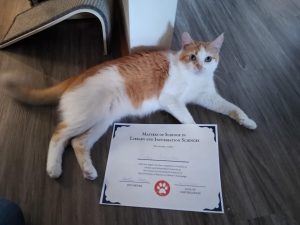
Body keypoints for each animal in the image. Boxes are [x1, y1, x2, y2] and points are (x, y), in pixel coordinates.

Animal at [1, 31, 255, 180]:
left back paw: (88, 171)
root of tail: (77, 76)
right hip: (88, 116)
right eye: (192, 57)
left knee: (77, 142)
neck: (193, 79)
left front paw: (247, 120)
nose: (200, 66)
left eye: (208, 59)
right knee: (58, 134)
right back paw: (54, 168)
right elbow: (190, 120)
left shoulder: (207, 97)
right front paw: (200, 135)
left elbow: (232, 107)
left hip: (103, 120)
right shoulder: (169, 99)